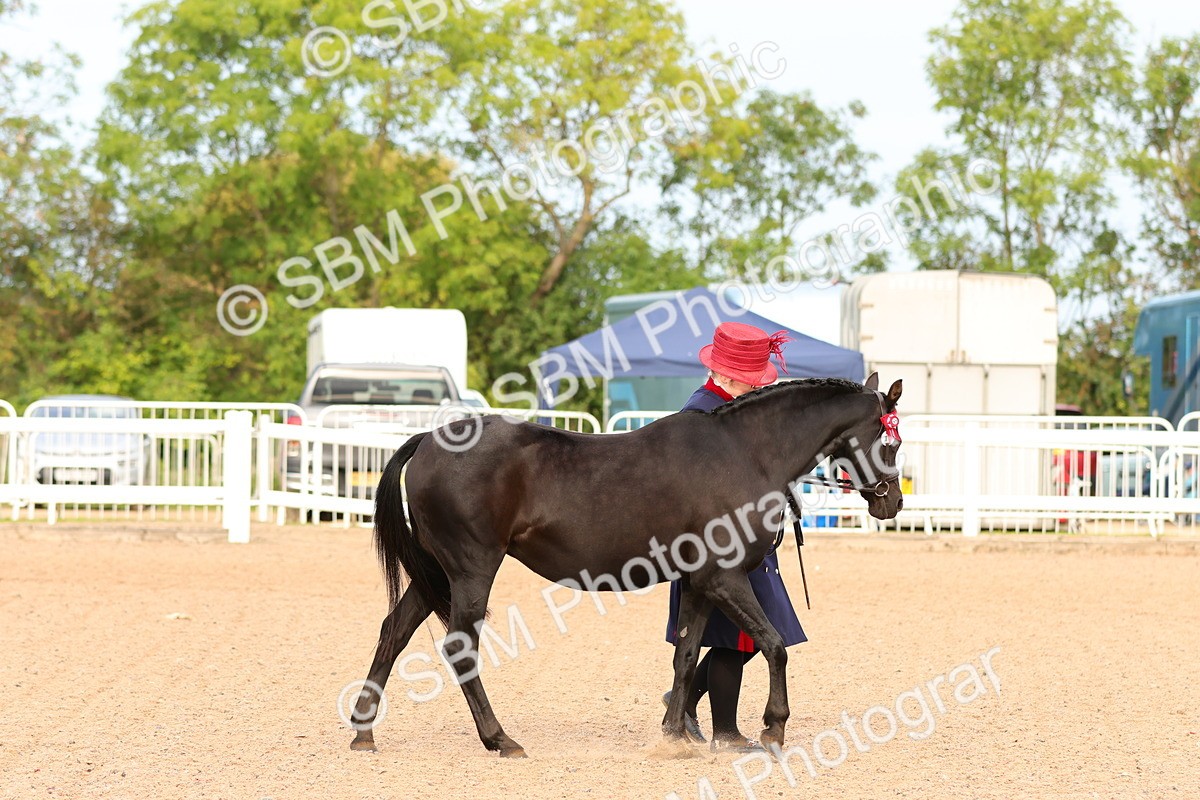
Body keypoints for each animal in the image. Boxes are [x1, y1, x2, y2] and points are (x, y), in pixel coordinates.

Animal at [349, 373, 904, 756]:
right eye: (890, 437)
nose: (892, 502)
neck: (744, 453)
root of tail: (429, 440)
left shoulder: (698, 582)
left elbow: (686, 654)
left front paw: (673, 737)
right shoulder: (724, 577)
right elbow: (774, 646)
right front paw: (773, 726)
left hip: (435, 574)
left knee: (393, 631)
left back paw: (363, 731)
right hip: (470, 571)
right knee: (459, 648)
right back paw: (500, 739)